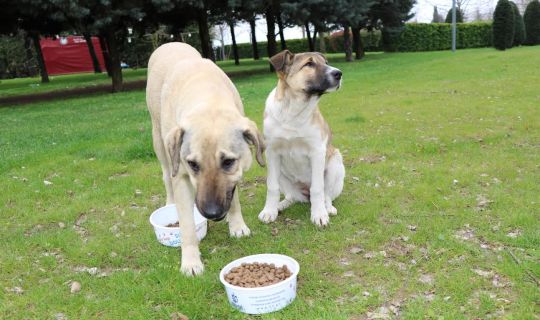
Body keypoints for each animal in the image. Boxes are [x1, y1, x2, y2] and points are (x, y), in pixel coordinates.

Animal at [147, 42, 264, 276]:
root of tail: (168, 43)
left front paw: (237, 225)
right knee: (166, 175)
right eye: (193, 164)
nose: (211, 213)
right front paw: (191, 261)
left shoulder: (232, 179)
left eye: (228, 162)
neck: (209, 99)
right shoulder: (182, 175)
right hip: (160, 142)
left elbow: (234, 199)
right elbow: (186, 226)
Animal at [258, 50, 346, 226]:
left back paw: (328, 208)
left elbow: (318, 188)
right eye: (309, 64)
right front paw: (269, 211)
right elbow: (272, 187)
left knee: (326, 194)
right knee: (292, 196)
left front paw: (319, 215)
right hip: (282, 173)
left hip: (335, 163)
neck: (293, 111)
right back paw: (281, 205)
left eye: (326, 62)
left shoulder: (317, 152)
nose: (339, 73)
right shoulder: (272, 153)